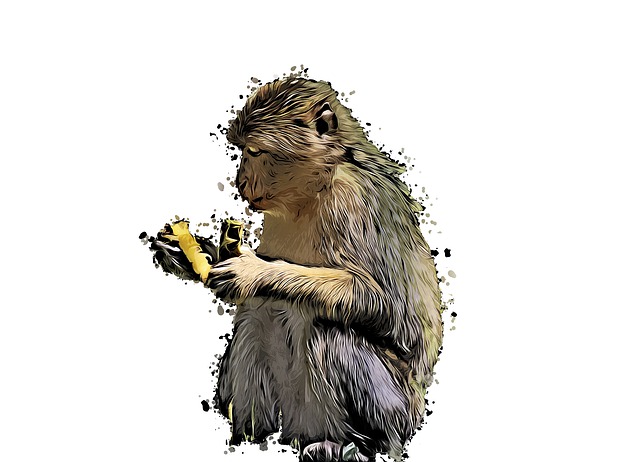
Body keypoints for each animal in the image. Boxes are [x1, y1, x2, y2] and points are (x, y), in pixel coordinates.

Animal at [181, 78, 442, 462]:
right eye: (243, 150)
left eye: (255, 151)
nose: (239, 182)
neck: (312, 192)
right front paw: (189, 252)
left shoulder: (351, 205)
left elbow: (381, 302)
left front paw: (252, 272)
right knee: (253, 318)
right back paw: (249, 435)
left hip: (393, 409)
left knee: (328, 329)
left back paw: (347, 445)